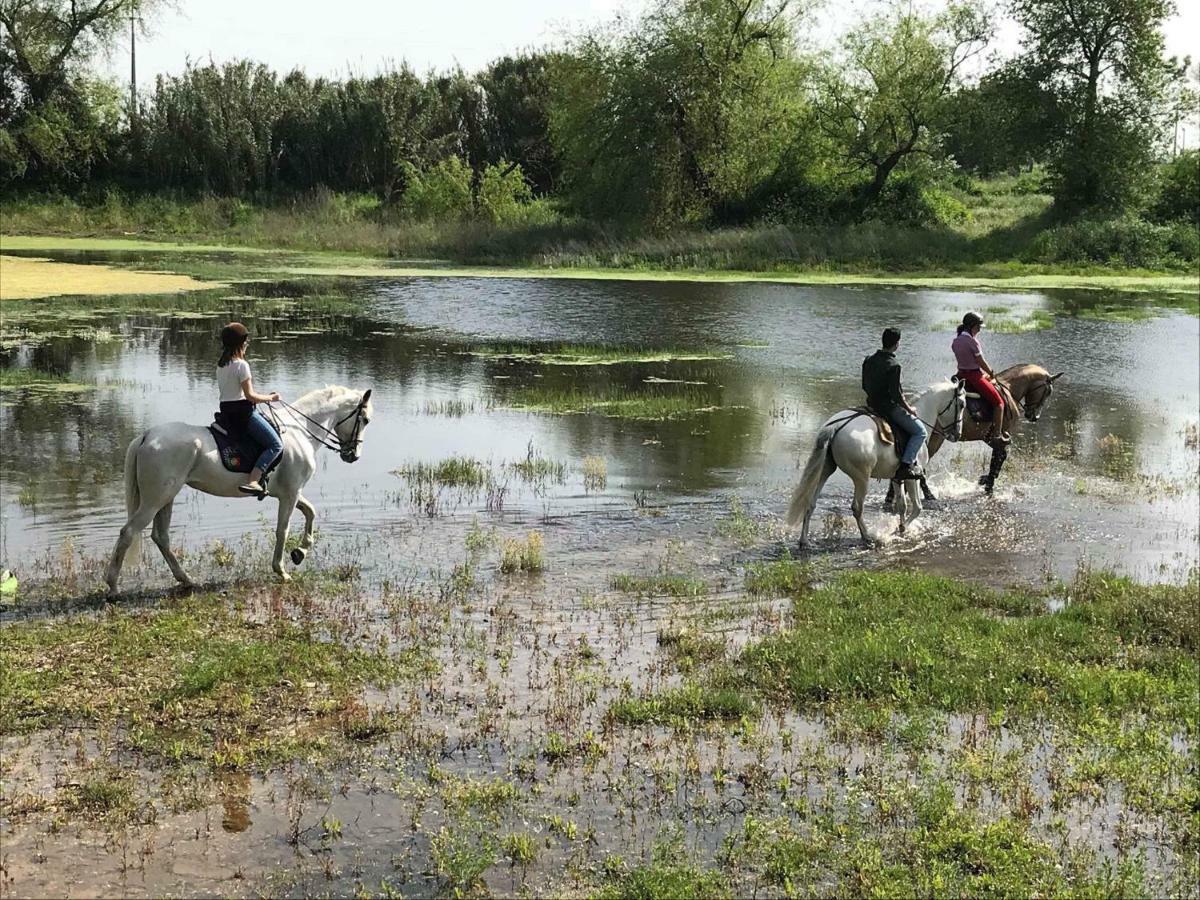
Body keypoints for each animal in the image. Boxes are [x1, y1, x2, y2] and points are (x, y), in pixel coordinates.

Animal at [105, 384, 372, 595]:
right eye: (365, 420)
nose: (354, 455)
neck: (300, 430)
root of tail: (147, 436)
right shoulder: (290, 493)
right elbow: (283, 530)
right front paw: (282, 570)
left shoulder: (291, 492)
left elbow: (311, 512)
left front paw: (300, 552)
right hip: (155, 499)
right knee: (129, 533)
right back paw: (113, 587)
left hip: (166, 498)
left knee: (160, 537)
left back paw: (186, 580)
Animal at [787, 376, 964, 547]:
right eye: (962, 404)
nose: (957, 434)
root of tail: (837, 426)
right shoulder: (911, 478)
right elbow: (917, 508)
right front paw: (900, 530)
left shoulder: (897, 477)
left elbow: (902, 505)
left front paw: (901, 527)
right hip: (861, 478)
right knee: (857, 507)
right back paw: (867, 538)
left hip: (825, 470)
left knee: (810, 503)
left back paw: (804, 541)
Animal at [888, 362, 1065, 504]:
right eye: (1048, 392)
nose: (1034, 417)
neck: (1009, 389)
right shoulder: (1000, 434)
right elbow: (1000, 456)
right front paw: (988, 483)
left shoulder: (990, 437)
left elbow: (999, 456)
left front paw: (986, 481)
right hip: (935, 439)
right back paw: (927, 495)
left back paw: (893, 495)